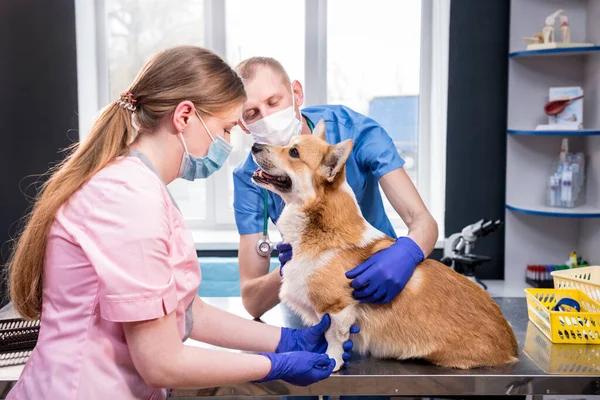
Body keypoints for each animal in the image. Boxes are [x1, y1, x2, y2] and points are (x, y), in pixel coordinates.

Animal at [251, 119, 516, 372]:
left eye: (294, 152)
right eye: (288, 145)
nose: (254, 146)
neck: (321, 228)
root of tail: (511, 346)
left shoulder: (339, 309)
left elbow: (334, 339)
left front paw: (331, 362)